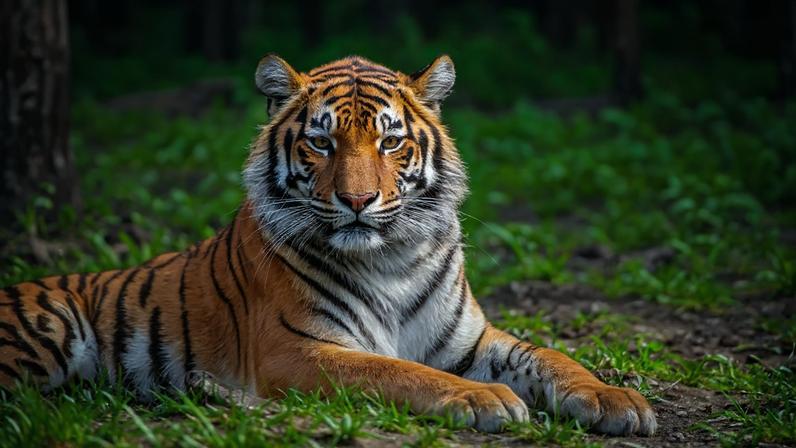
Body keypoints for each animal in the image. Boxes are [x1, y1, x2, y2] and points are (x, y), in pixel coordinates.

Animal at [0, 55, 656, 436]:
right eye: (321, 143)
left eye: (390, 142)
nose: (358, 200)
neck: (394, 258)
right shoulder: (299, 348)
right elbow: (400, 372)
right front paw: (483, 399)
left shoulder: (470, 339)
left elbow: (552, 357)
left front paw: (617, 400)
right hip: (47, 331)